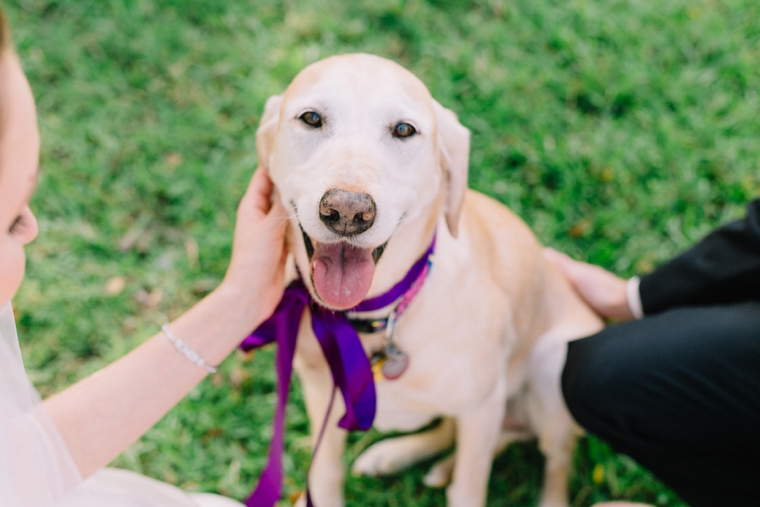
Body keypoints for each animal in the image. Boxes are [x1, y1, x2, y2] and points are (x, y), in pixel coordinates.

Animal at [258, 54, 604, 507]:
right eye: (311, 118)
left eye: (404, 130)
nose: (348, 212)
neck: (377, 319)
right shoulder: (321, 394)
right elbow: (325, 473)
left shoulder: (482, 407)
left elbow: (468, 488)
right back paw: (396, 455)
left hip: (553, 364)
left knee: (556, 462)